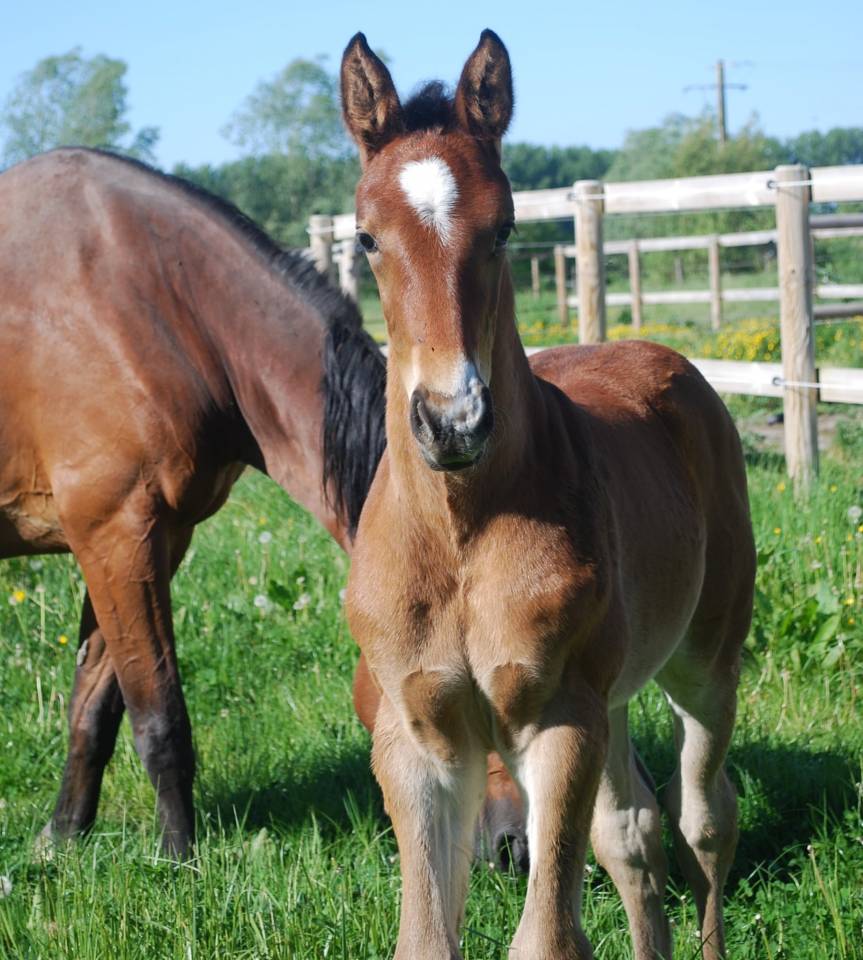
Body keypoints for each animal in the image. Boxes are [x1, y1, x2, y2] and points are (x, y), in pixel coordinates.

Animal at [341, 30, 755, 960]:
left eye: (503, 228)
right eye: (366, 237)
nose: (451, 420)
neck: (458, 533)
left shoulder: (560, 720)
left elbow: (547, 939)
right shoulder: (418, 742)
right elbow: (427, 939)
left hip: (702, 662)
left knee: (705, 820)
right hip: (618, 693)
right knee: (633, 834)